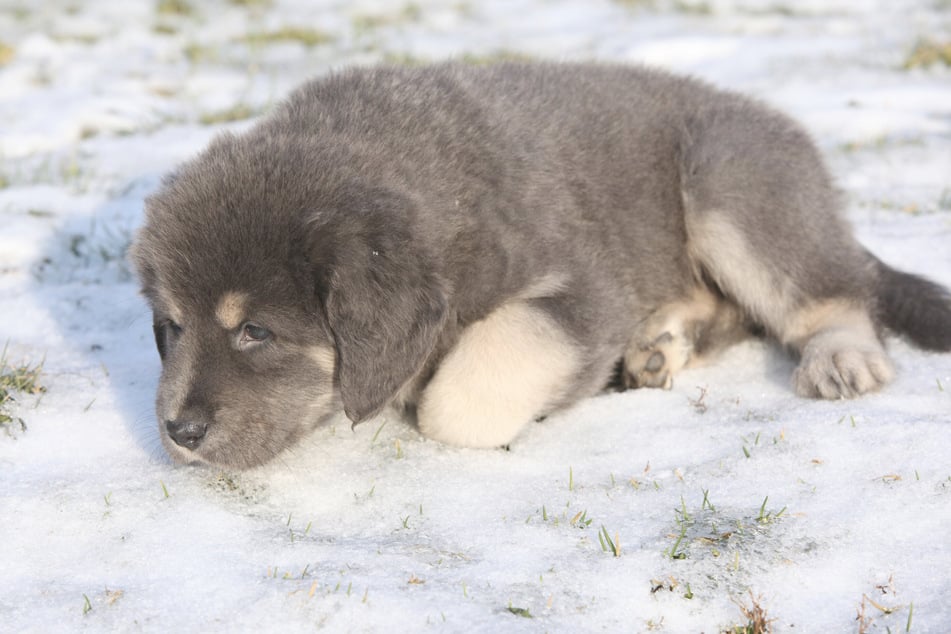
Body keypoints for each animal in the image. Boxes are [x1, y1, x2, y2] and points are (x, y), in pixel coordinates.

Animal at [132, 63, 951, 470]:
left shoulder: (582, 291)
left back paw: (840, 357)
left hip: (731, 181)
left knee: (832, 293)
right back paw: (658, 347)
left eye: (256, 332)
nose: (179, 432)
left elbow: (463, 395)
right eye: (170, 327)